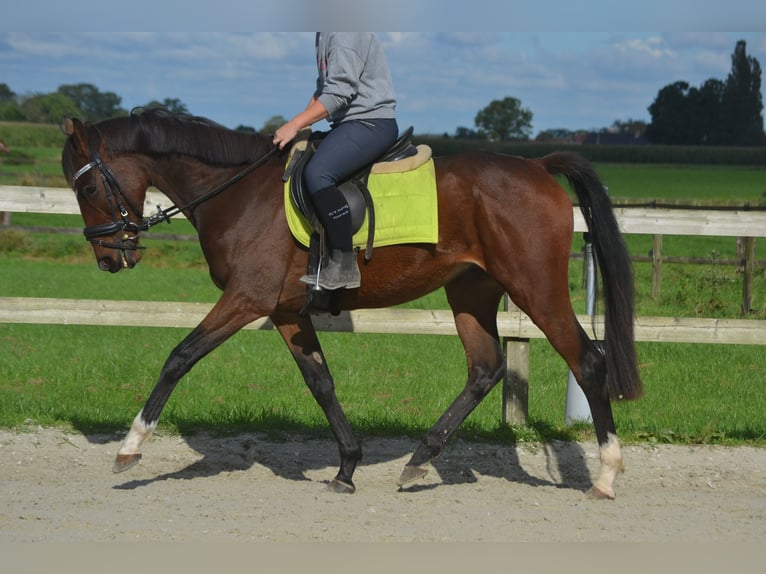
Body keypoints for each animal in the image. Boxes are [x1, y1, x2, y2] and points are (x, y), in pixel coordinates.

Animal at [63, 108, 644, 500]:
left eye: (87, 186)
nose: (109, 258)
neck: (237, 192)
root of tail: (539, 166)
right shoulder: (286, 311)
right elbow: (320, 383)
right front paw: (347, 468)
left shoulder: (247, 298)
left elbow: (179, 357)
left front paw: (130, 448)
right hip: (471, 290)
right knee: (484, 368)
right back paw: (418, 461)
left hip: (535, 288)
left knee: (588, 362)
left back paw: (605, 476)